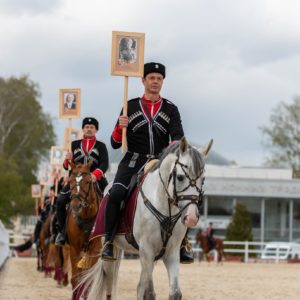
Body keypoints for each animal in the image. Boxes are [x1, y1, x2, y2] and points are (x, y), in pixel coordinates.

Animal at [66, 162, 102, 296]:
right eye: (70, 181)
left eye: (87, 182)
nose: (76, 205)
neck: (86, 217)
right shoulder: (74, 248)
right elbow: (75, 279)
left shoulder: (95, 250)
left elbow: (88, 279)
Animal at [77, 138, 213, 300]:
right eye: (180, 177)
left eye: (203, 179)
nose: (191, 217)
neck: (163, 205)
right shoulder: (147, 250)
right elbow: (148, 293)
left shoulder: (171, 252)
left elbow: (174, 292)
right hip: (111, 251)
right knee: (109, 281)